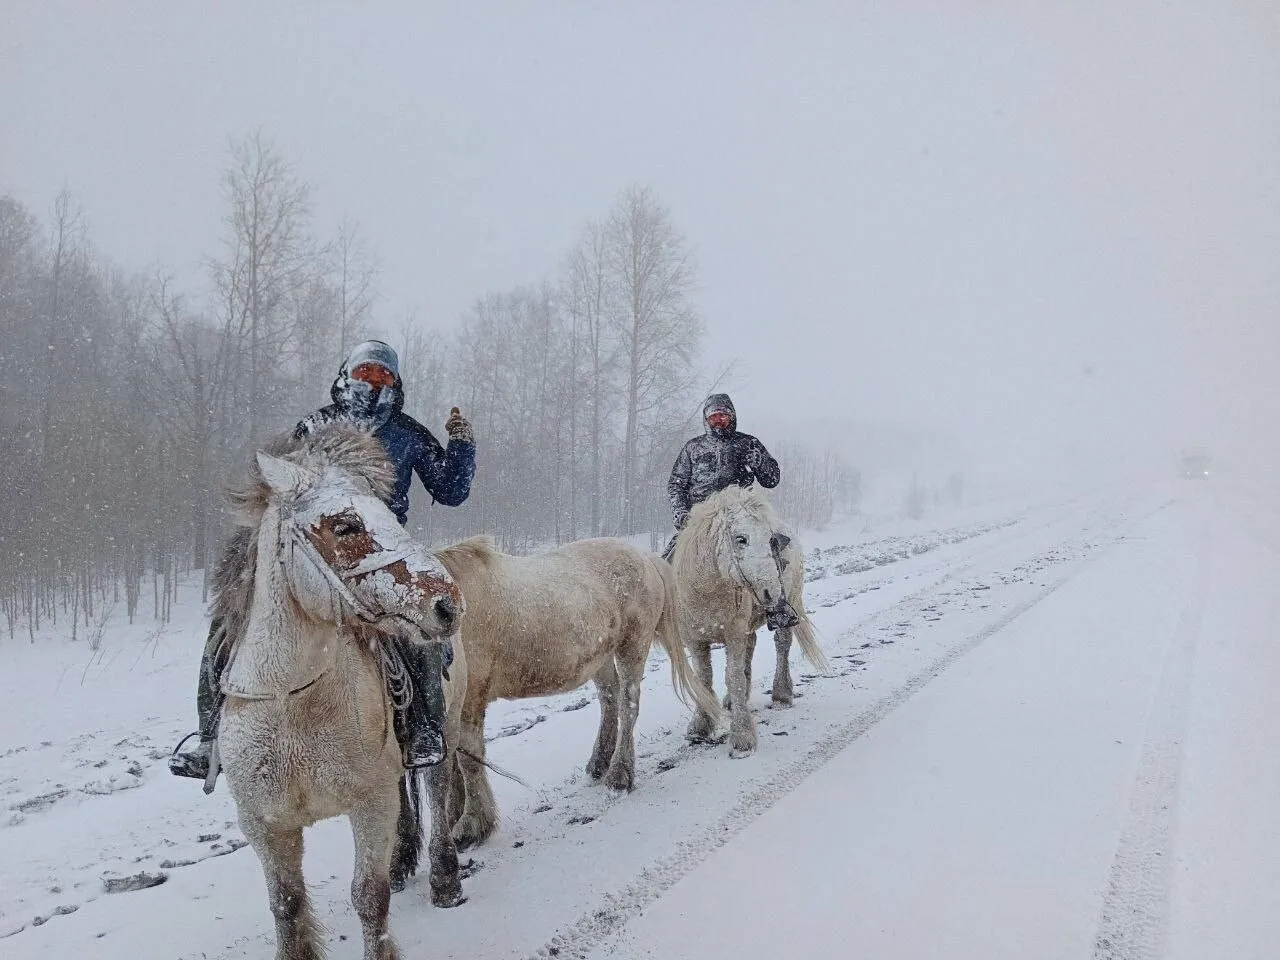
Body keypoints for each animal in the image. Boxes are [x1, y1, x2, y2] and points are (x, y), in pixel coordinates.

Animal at [209, 427, 471, 960]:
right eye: (345, 526)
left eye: (390, 513)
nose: (447, 604)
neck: (292, 704)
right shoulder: (265, 825)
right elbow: (287, 907)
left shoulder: (369, 804)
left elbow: (370, 896)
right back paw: (403, 859)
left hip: (446, 732)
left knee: (436, 793)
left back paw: (444, 880)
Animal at [437, 542, 721, 849]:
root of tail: (645, 557)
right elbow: (454, 764)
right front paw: (454, 816)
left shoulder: (470, 699)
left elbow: (468, 761)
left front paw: (472, 824)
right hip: (601, 656)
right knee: (610, 699)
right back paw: (599, 762)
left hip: (633, 645)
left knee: (628, 704)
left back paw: (619, 774)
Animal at [670, 488, 829, 757]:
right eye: (741, 539)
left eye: (771, 540)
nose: (772, 593)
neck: (709, 592)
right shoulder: (695, 639)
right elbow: (704, 678)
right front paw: (701, 725)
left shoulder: (734, 633)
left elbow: (733, 676)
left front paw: (743, 737)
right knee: (751, 647)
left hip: (788, 605)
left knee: (782, 645)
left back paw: (781, 694)